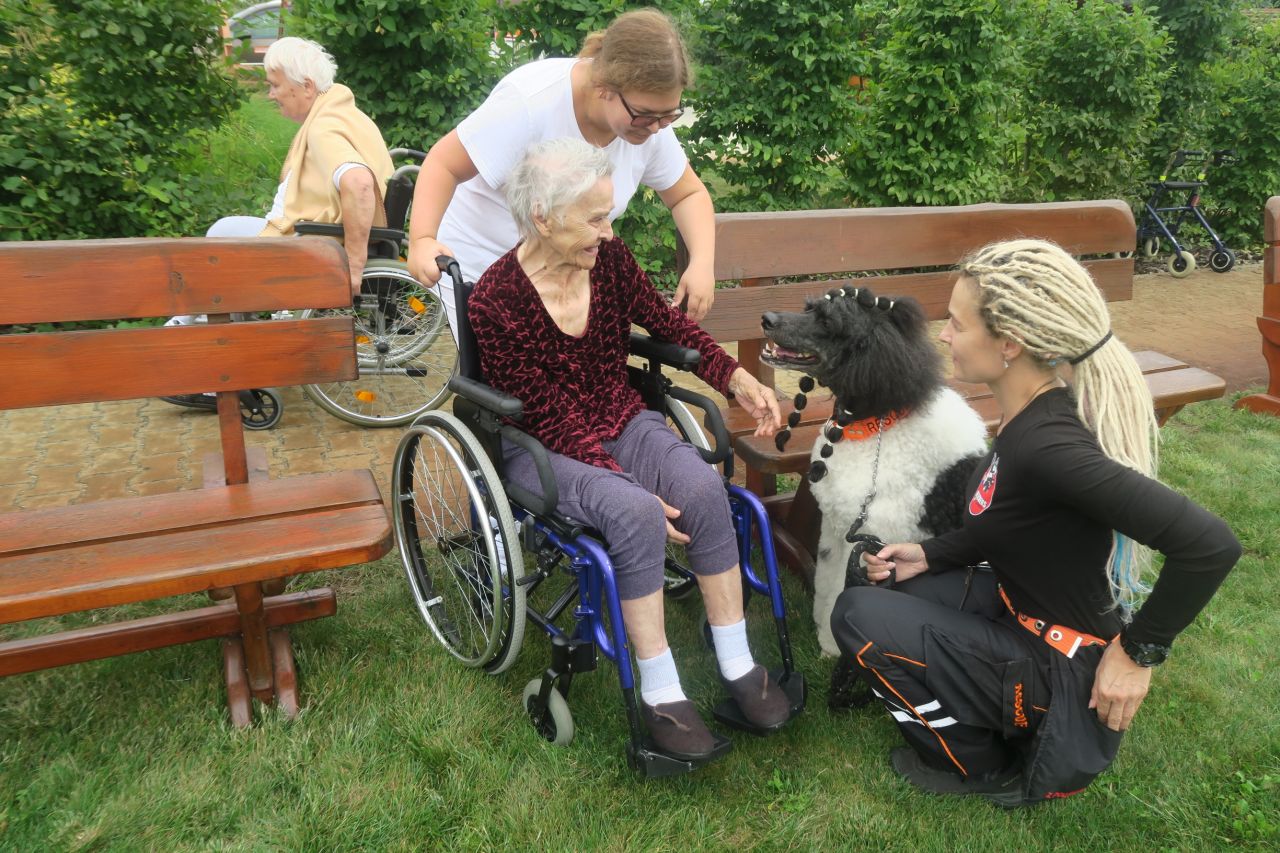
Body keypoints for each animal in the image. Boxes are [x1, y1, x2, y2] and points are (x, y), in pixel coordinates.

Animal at [761, 285, 988, 658]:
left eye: (828, 321)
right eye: (809, 308)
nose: (767, 319)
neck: (874, 428)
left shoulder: (876, 541)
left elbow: (842, 592)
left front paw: (833, 647)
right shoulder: (836, 529)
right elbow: (827, 584)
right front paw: (825, 641)